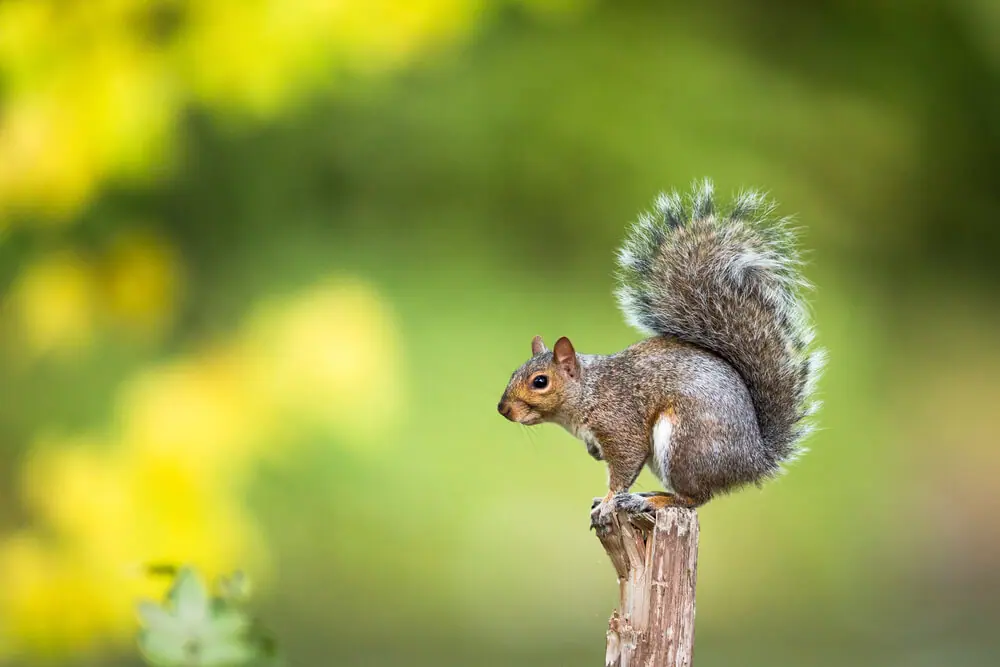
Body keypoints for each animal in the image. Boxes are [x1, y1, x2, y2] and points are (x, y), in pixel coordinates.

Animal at [496, 179, 824, 528]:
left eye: (540, 382)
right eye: (514, 373)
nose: (503, 409)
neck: (589, 391)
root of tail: (753, 461)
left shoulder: (620, 423)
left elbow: (624, 467)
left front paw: (608, 504)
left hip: (684, 444)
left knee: (694, 498)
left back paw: (647, 500)